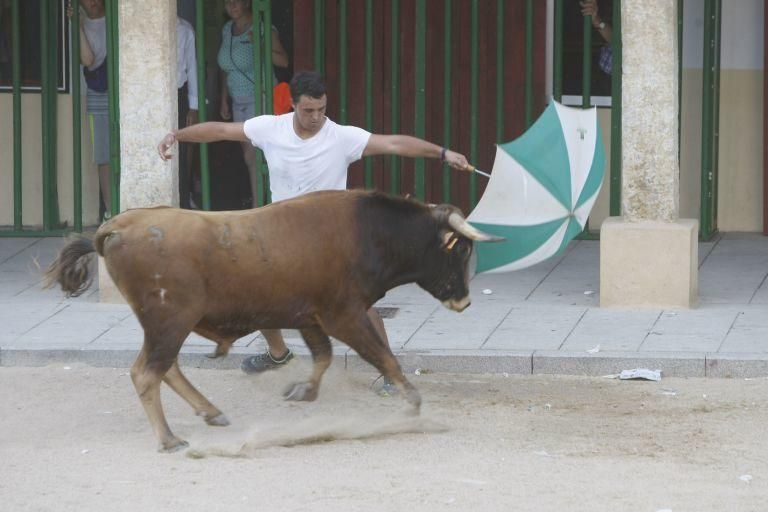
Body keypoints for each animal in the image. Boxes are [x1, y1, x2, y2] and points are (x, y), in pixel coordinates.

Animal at [49, 189, 504, 452]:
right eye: (461, 250)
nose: (464, 301)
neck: (370, 231)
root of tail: (118, 225)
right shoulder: (344, 315)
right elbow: (382, 356)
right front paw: (412, 402)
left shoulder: (310, 316)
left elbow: (323, 357)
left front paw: (303, 390)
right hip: (169, 322)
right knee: (147, 373)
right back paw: (169, 439)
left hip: (167, 326)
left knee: (166, 369)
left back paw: (210, 412)